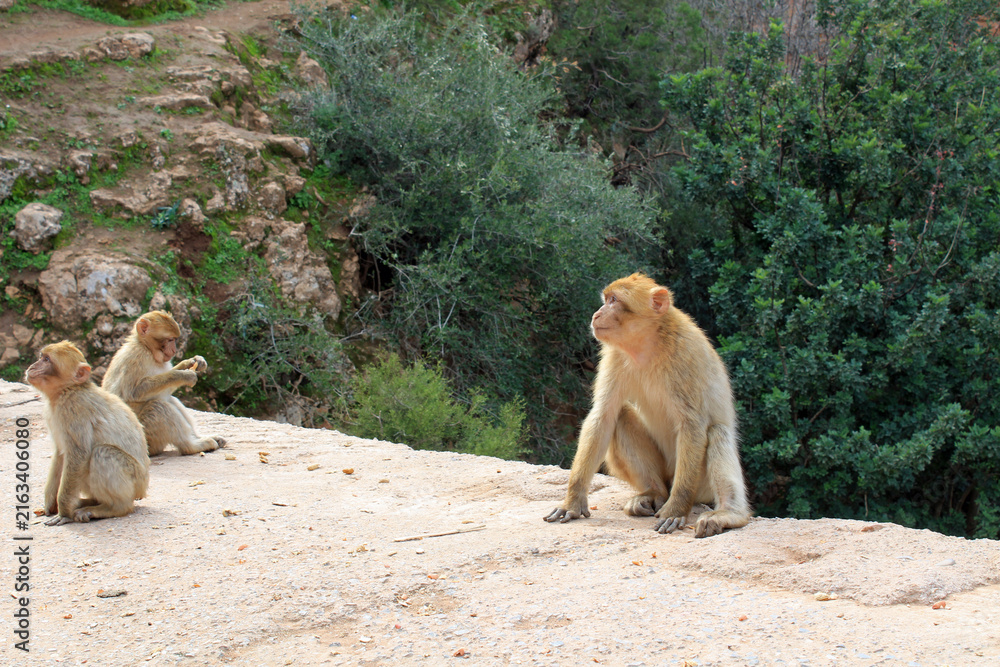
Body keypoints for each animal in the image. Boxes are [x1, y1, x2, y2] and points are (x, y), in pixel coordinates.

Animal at [25, 341, 150, 525]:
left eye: (47, 360)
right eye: (41, 357)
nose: (32, 367)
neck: (66, 390)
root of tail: (143, 489)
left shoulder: (73, 409)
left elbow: (78, 454)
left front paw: (63, 513)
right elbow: (60, 453)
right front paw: (50, 504)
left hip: (135, 480)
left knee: (103, 452)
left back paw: (111, 508)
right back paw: (88, 502)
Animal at [102, 310, 225, 456]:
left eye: (174, 340)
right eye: (170, 339)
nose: (174, 350)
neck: (147, 348)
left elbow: (166, 389)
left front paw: (193, 362)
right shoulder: (135, 358)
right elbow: (134, 392)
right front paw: (184, 375)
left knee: (170, 400)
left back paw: (202, 438)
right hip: (147, 437)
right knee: (158, 406)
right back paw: (193, 446)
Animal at [544, 273, 751, 538]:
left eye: (613, 300)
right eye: (606, 299)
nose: (596, 314)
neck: (648, 343)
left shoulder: (687, 354)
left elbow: (692, 425)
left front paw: (676, 509)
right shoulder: (614, 356)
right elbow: (604, 415)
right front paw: (573, 500)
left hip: (700, 484)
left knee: (717, 432)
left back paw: (728, 513)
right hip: (662, 475)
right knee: (621, 416)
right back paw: (653, 493)